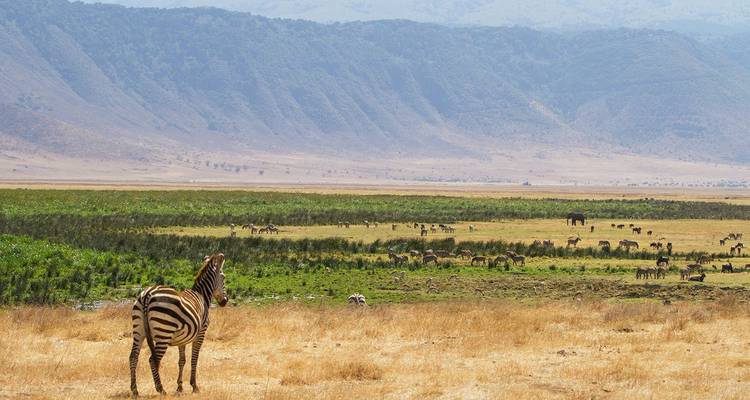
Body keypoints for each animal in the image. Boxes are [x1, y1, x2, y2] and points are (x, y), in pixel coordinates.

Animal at [129, 253, 229, 397]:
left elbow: (182, 361)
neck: (202, 295)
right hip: (164, 333)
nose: (225, 301)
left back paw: (134, 390)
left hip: (139, 330)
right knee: (153, 360)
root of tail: (148, 294)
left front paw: (180, 387)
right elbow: (194, 358)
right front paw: (194, 386)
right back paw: (161, 389)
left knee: (133, 357)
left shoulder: (183, 339)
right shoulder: (201, 333)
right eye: (224, 277)